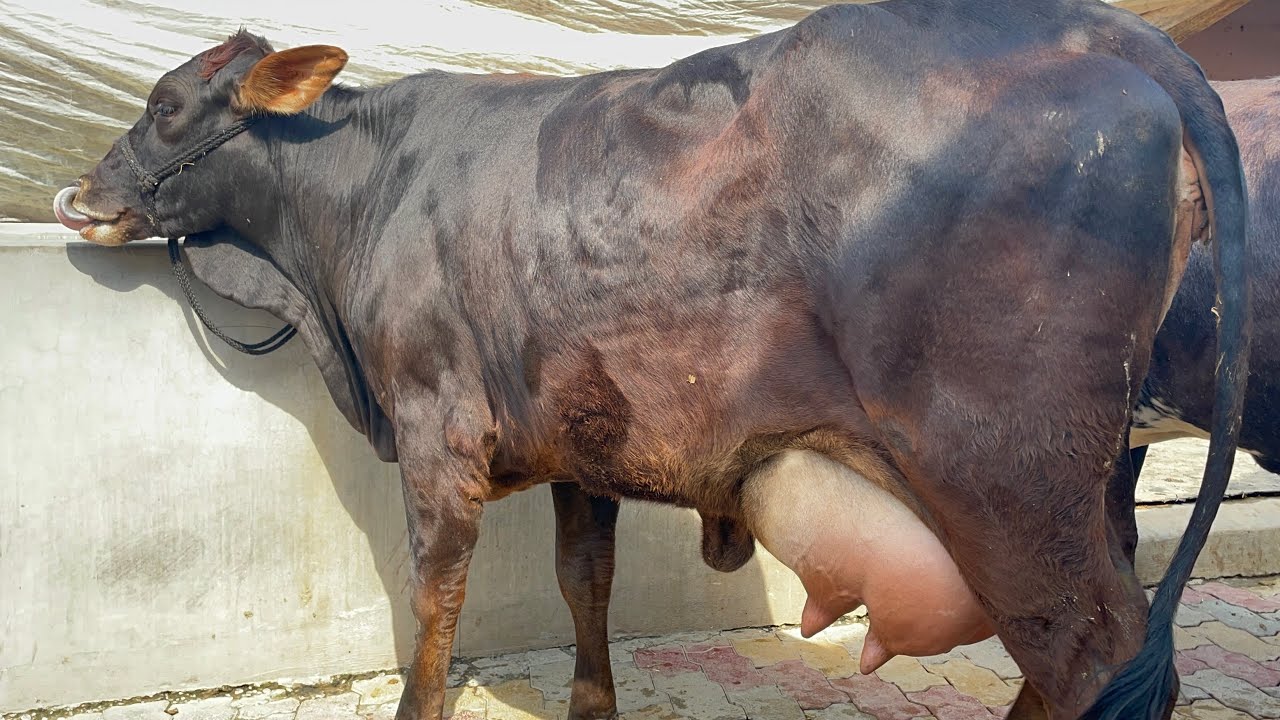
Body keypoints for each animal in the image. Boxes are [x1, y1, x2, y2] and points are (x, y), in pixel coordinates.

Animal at [52, 0, 1250, 718]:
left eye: (166, 106)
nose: (79, 193)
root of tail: (1099, 31)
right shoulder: (580, 440)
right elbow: (586, 582)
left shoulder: (437, 431)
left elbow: (436, 591)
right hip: (1084, 481)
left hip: (1007, 478)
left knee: (1083, 650)